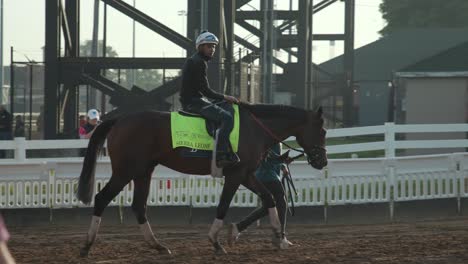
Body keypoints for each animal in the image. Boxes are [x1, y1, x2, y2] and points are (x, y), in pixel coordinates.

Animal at [76, 102, 326, 256]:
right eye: (323, 131)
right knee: (101, 198)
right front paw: (215, 241)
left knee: (139, 206)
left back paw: (158, 246)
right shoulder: (236, 175)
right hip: (125, 172)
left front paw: (278, 235)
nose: (322, 161)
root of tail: (119, 120)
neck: (254, 128)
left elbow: (269, 198)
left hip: (143, 172)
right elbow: (223, 206)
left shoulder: (246, 174)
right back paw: (87, 245)